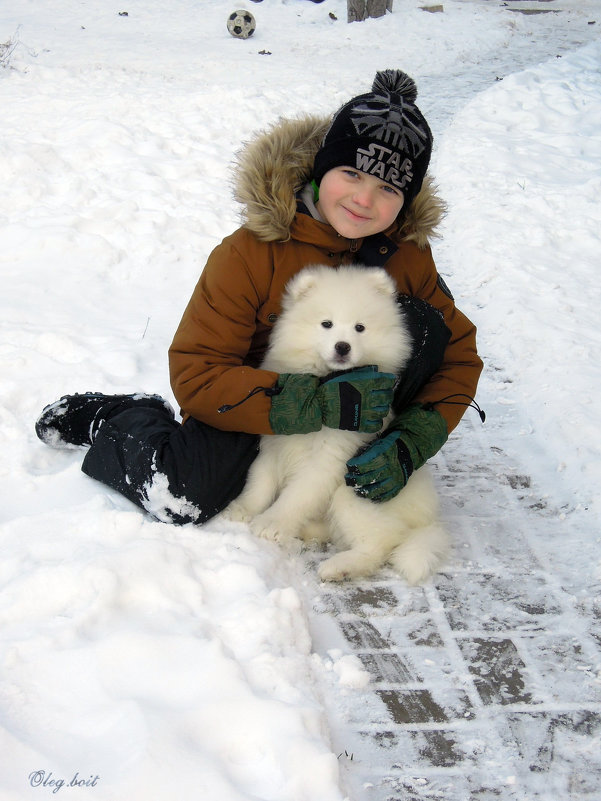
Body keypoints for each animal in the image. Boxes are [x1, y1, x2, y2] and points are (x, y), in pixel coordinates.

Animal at [226, 266, 450, 584]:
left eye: (360, 328)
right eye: (326, 324)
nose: (342, 347)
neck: (322, 391)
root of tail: (428, 519)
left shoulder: (328, 459)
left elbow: (297, 495)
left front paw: (271, 523)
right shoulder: (274, 443)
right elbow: (260, 480)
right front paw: (243, 508)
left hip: (357, 488)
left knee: (382, 542)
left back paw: (339, 566)